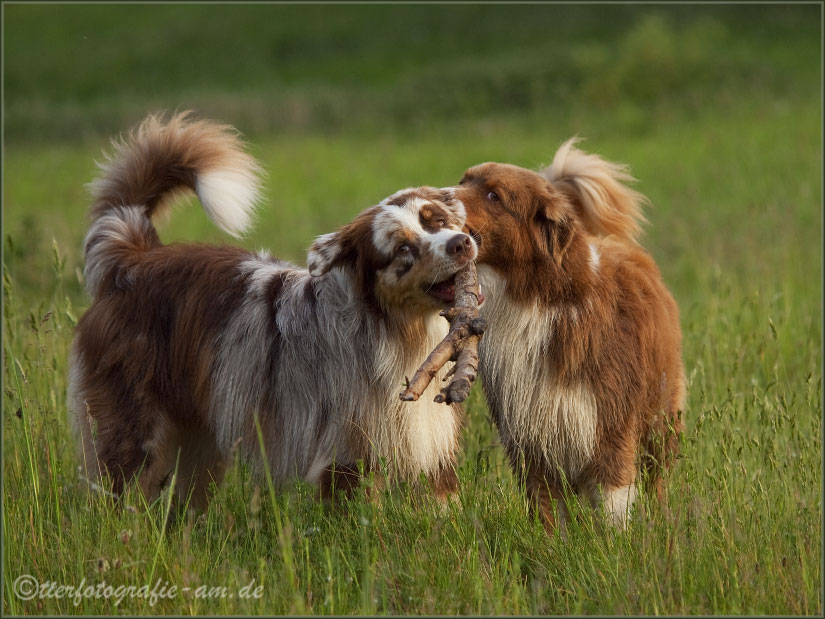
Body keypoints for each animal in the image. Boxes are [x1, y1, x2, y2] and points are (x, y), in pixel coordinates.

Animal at [70, 114, 476, 512]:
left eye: (437, 221)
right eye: (402, 248)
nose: (461, 244)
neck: (400, 329)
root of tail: (132, 258)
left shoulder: (434, 447)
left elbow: (446, 510)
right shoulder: (344, 455)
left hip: (202, 441)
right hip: (137, 433)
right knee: (118, 500)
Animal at [454, 140, 684, 532]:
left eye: (494, 195)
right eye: (462, 180)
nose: (430, 200)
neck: (537, 300)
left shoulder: (608, 426)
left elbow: (613, 504)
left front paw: (614, 545)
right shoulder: (529, 436)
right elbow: (547, 511)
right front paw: (552, 544)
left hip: (659, 416)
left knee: (659, 478)